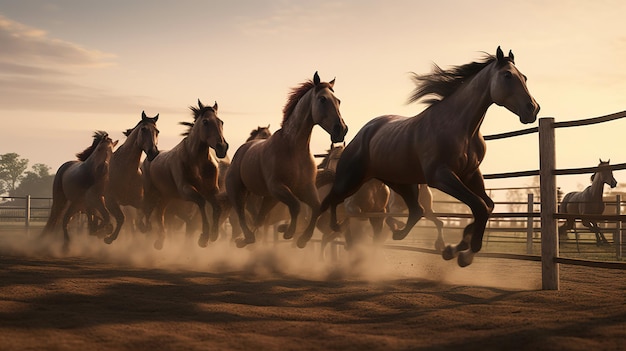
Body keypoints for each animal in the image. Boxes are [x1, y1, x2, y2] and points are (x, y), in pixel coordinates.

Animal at [103, 112, 160, 245]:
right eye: (144, 129)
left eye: (157, 131)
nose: (153, 153)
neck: (126, 171)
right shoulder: (110, 200)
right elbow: (121, 218)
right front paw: (109, 238)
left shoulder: (138, 202)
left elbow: (144, 215)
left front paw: (144, 227)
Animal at [140, 99, 228, 250]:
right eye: (205, 122)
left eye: (221, 121)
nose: (222, 147)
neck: (196, 161)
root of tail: (150, 157)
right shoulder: (185, 190)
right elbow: (201, 202)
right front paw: (204, 237)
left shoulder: (212, 190)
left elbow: (217, 207)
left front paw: (214, 235)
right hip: (150, 193)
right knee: (147, 211)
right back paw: (147, 231)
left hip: (166, 196)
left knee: (160, 212)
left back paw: (159, 242)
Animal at [224, 71, 346, 248]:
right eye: (322, 99)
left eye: (338, 101)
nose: (341, 130)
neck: (293, 148)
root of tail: (241, 151)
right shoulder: (278, 186)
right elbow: (295, 206)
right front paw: (288, 232)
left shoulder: (304, 187)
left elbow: (315, 207)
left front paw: (302, 239)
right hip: (238, 190)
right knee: (241, 212)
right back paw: (246, 239)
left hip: (269, 198)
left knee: (259, 218)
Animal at [316, 46, 536, 266]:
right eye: (507, 75)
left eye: (524, 77)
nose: (532, 109)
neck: (460, 127)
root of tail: (361, 134)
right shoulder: (441, 176)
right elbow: (479, 206)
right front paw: (464, 253)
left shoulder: (470, 174)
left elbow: (487, 206)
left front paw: (455, 249)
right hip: (353, 179)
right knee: (333, 200)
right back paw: (335, 227)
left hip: (399, 181)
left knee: (416, 211)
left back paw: (396, 232)